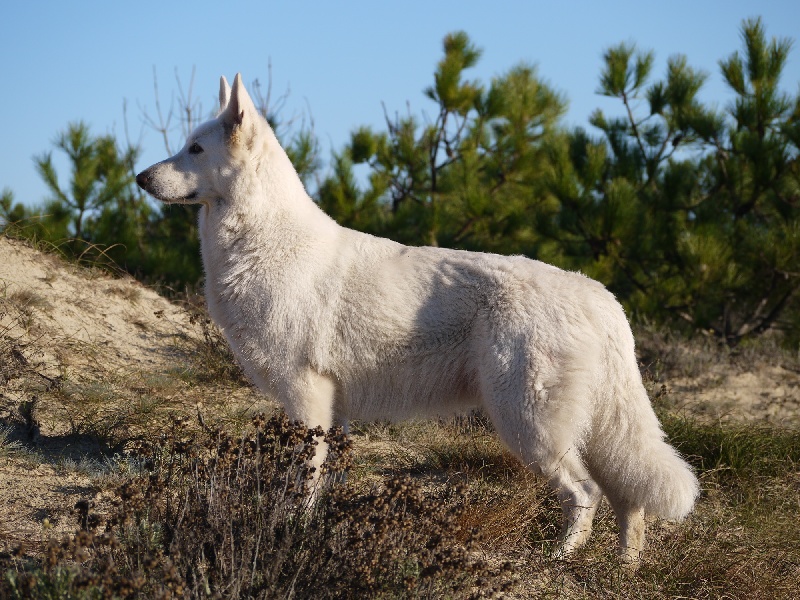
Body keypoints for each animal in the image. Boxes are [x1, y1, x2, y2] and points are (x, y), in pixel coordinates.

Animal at [139, 72, 700, 560]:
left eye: (195, 150)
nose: (140, 177)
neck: (264, 241)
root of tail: (600, 296)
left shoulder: (306, 395)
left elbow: (303, 482)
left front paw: (289, 529)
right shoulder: (334, 410)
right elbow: (329, 480)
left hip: (529, 425)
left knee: (586, 493)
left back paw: (557, 560)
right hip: (581, 430)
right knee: (629, 501)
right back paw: (623, 568)